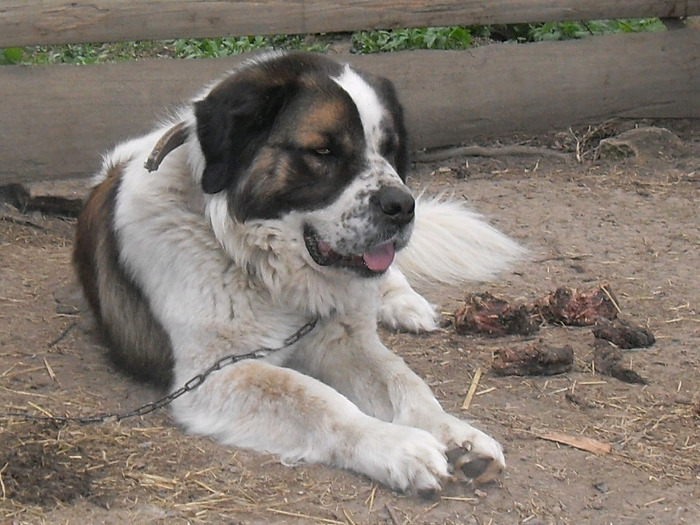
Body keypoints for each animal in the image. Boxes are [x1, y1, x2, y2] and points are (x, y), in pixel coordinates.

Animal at [75, 51, 524, 494]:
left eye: (390, 149)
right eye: (323, 152)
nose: (401, 206)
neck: (265, 266)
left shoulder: (345, 340)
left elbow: (404, 381)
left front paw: (455, 434)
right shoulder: (216, 374)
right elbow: (316, 399)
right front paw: (398, 446)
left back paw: (405, 305)